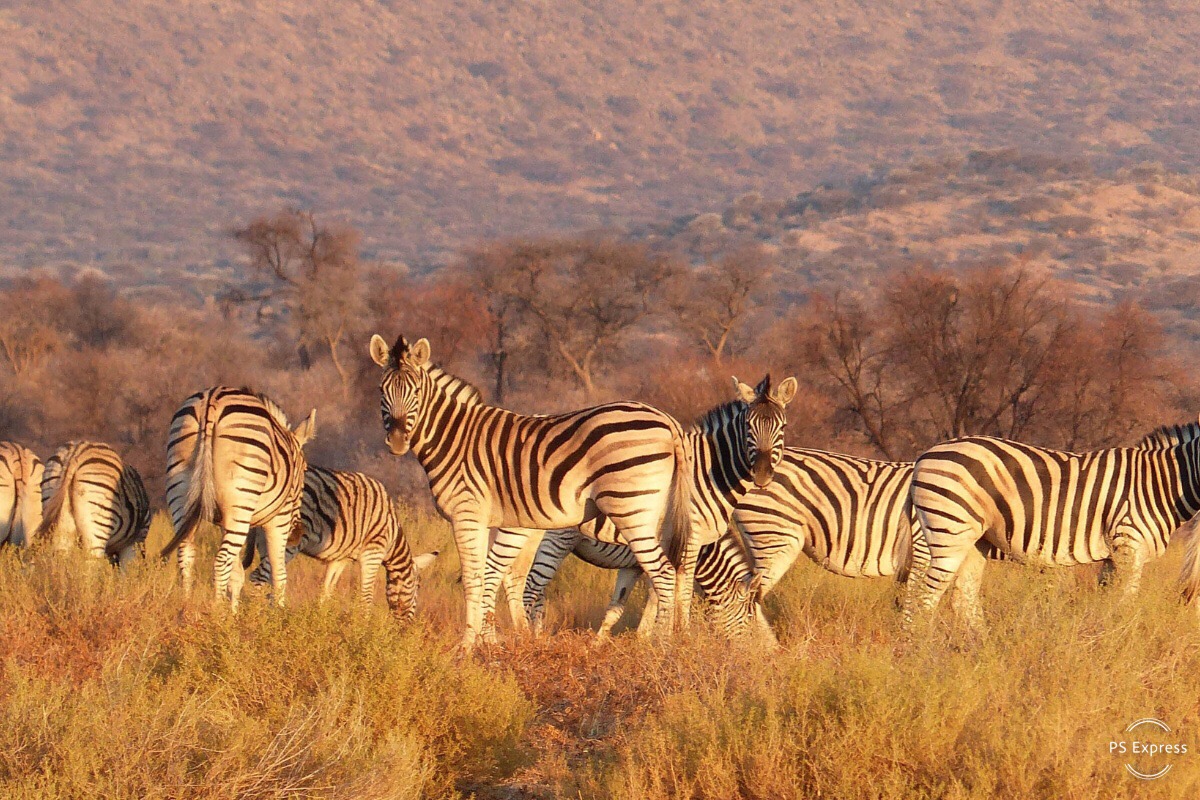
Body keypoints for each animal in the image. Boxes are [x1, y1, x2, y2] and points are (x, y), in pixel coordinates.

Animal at [162, 386, 316, 606]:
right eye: (304, 470)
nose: (297, 534)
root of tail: (212, 400)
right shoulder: (280, 518)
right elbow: (279, 573)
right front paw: (278, 611)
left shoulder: (223, 521)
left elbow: (236, 575)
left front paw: (233, 613)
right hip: (242, 502)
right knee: (221, 561)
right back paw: (216, 611)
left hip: (181, 490)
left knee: (186, 553)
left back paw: (186, 607)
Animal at [246, 465, 444, 623]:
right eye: (418, 587)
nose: (406, 628)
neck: (392, 536)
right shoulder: (373, 552)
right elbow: (366, 597)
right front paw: (363, 630)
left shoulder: (340, 559)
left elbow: (326, 592)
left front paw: (320, 621)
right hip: (287, 539)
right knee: (258, 576)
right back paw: (256, 619)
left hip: (266, 539)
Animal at [372, 331, 696, 652]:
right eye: (382, 391)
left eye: (416, 392)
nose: (397, 441)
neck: (455, 438)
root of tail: (669, 422)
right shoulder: (480, 520)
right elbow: (483, 576)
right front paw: (484, 643)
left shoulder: (466, 514)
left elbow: (473, 579)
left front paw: (466, 647)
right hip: (658, 515)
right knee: (669, 572)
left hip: (630, 507)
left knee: (663, 573)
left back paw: (662, 647)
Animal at [487, 371, 796, 642]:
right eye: (748, 427)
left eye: (782, 427)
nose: (762, 475)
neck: (709, 472)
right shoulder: (689, 541)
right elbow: (677, 594)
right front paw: (675, 638)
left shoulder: (641, 560)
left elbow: (628, 604)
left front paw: (641, 640)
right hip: (540, 531)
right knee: (515, 577)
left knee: (511, 577)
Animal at [902, 422, 1200, 633]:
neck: (1161, 483)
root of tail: (923, 457)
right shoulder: (1128, 547)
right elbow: (1125, 604)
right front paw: (1120, 644)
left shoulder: (1113, 556)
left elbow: (1107, 602)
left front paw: (1101, 639)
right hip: (950, 532)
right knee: (924, 600)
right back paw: (919, 656)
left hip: (976, 541)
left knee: (963, 597)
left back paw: (979, 652)